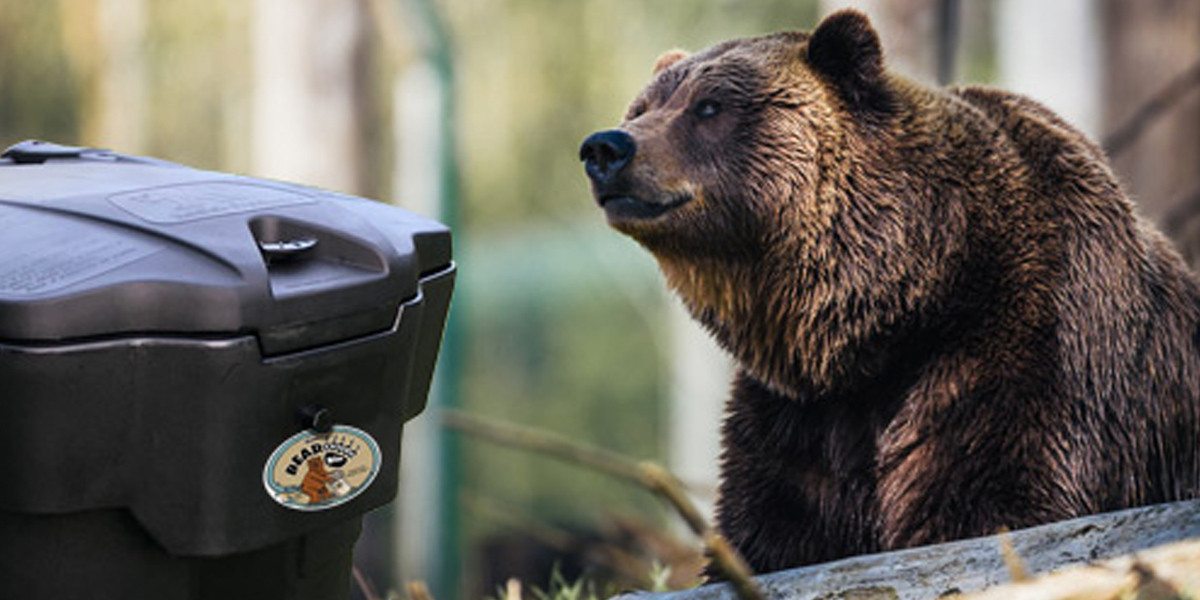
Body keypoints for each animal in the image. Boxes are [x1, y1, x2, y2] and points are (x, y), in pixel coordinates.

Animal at [580, 9, 1200, 575]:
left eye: (709, 106)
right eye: (642, 107)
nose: (606, 147)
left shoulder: (1026, 351)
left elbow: (991, 501)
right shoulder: (798, 420)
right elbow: (770, 531)